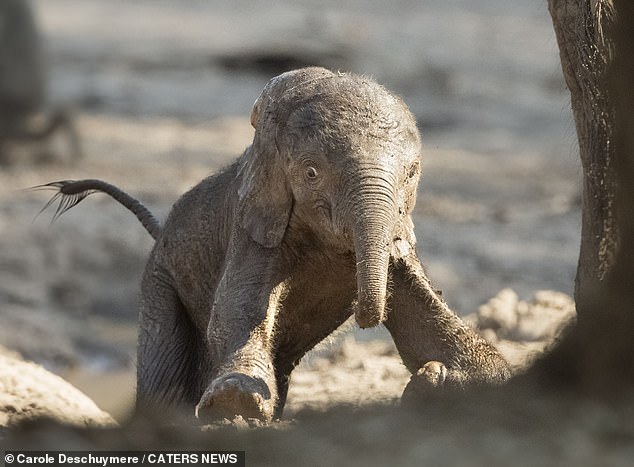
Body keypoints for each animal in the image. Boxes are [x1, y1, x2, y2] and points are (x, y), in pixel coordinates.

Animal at [39, 67, 506, 422]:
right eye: (311, 172)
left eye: (411, 174)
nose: (364, 313)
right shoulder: (255, 226)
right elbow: (236, 313)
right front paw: (236, 403)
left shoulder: (398, 242)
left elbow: (433, 324)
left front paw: (439, 378)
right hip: (159, 277)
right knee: (164, 374)